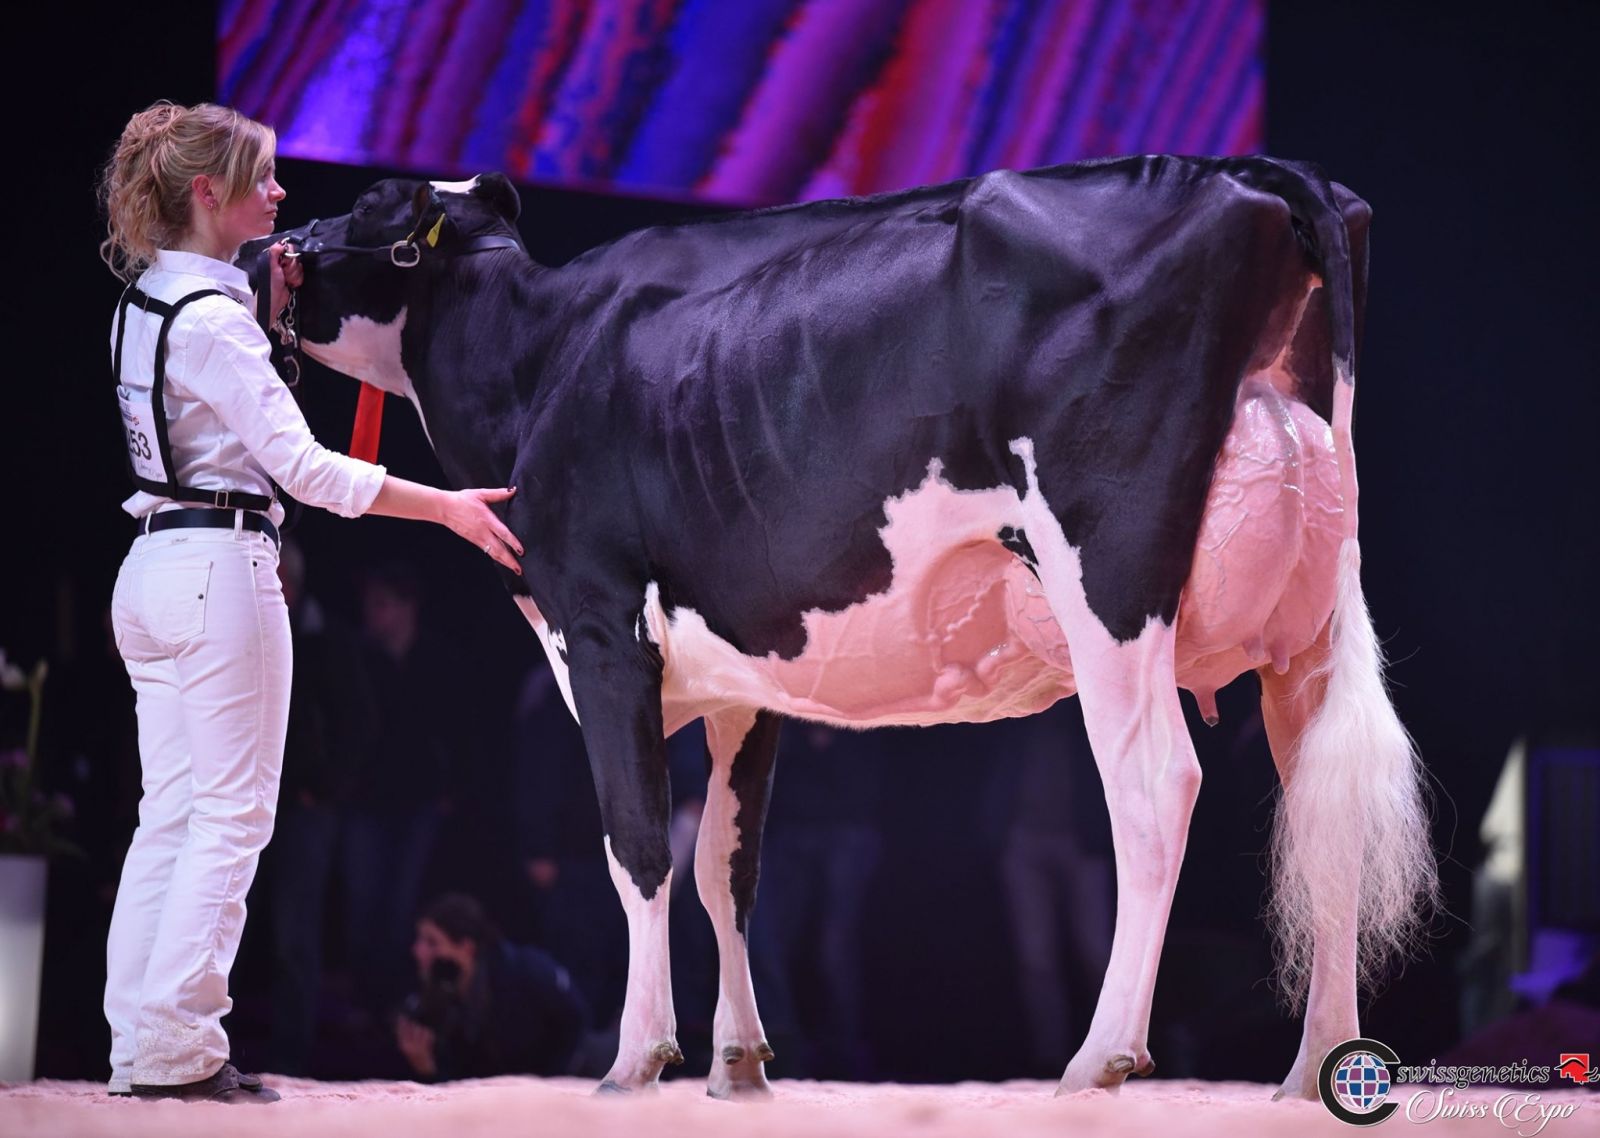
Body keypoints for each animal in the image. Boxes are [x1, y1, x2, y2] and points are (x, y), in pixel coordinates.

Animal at [244, 154, 1436, 1100]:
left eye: (361, 206)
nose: (262, 242)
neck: (535, 361)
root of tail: (1247, 170)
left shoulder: (598, 623)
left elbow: (638, 849)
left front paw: (636, 1059)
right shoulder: (745, 678)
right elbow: (727, 865)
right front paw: (739, 1062)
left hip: (1109, 579)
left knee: (1155, 790)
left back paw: (1098, 1058)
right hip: (1309, 628)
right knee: (1323, 810)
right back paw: (1310, 1069)